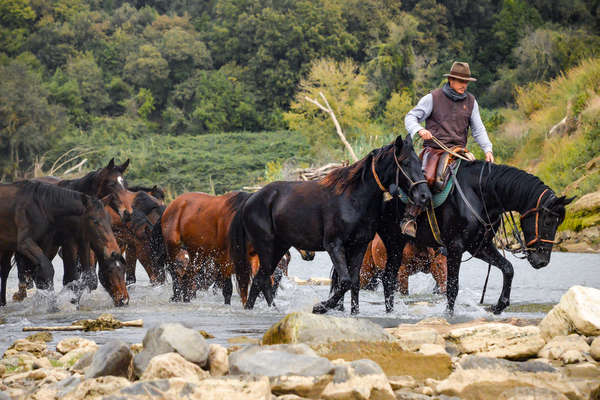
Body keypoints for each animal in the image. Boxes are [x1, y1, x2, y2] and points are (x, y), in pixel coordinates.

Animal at [230, 136, 432, 314]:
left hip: (279, 247)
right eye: (405, 163)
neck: (353, 199)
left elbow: (354, 282)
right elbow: (345, 281)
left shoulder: (359, 246)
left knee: (260, 280)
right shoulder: (334, 246)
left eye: (419, 162)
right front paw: (321, 307)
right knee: (262, 280)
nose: (425, 196)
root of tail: (250, 200)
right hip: (267, 249)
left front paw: (354, 313)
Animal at [332, 160, 572, 316]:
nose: (542, 261)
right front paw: (449, 314)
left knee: (386, 281)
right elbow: (453, 287)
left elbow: (508, 268)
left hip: (394, 247)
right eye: (548, 221)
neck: (480, 194)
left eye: (558, 222)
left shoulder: (479, 247)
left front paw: (498, 306)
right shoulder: (455, 248)